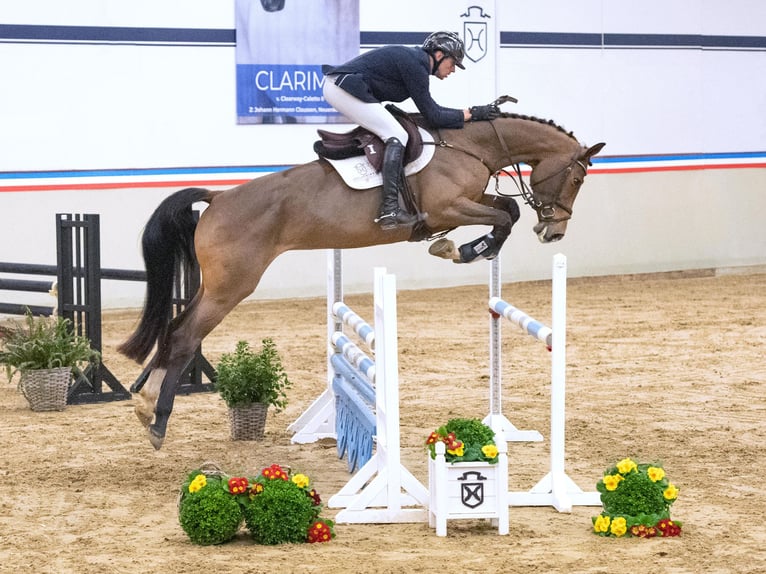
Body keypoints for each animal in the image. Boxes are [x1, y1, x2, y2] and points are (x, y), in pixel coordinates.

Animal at [118, 109, 608, 450]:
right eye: (578, 178)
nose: (554, 232)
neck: (469, 146)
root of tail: (218, 198)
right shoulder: (447, 208)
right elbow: (505, 216)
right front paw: (464, 249)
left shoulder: (467, 202)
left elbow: (504, 208)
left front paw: (462, 248)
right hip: (231, 287)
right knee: (185, 337)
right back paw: (157, 421)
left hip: (214, 285)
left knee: (174, 328)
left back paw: (144, 402)